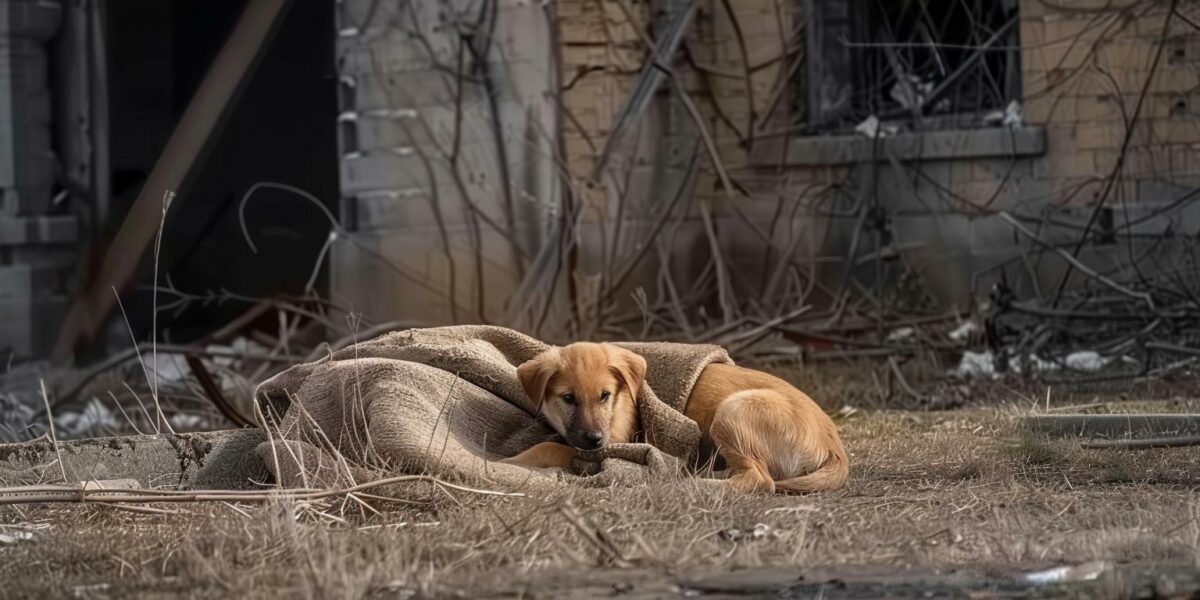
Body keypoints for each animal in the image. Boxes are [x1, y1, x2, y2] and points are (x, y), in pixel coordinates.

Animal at [501, 343, 849, 492]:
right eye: (568, 399)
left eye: (605, 396)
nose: (595, 438)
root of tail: (835, 448)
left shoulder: (613, 442)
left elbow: (551, 448)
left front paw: (509, 460)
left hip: (733, 411)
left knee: (760, 480)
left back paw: (694, 483)